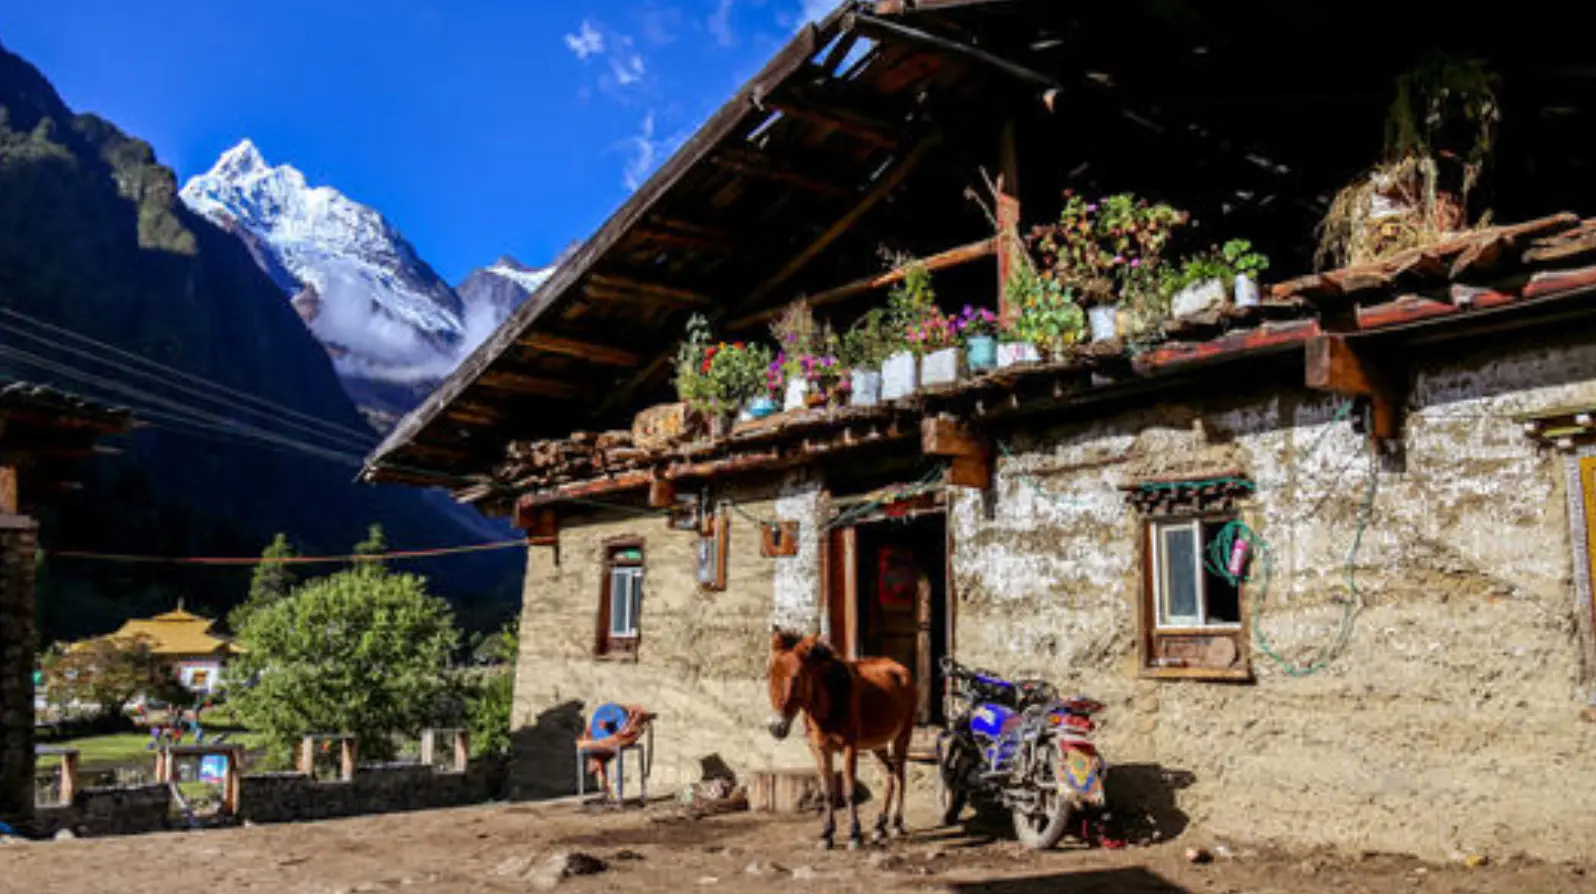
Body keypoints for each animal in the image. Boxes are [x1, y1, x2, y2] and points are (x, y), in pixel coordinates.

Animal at [766, 625, 919, 849]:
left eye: (795, 678)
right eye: (768, 676)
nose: (775, 727)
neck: (826, 706)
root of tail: (899, 667)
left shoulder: (849, 747)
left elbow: (849, 791)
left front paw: (854, 835)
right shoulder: (819, 748)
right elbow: (828, 791)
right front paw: (826, 834)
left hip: (902, 737)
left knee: (900, 776)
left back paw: (897, 824)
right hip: (876, 745)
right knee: (889, 777)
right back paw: (879, 827)